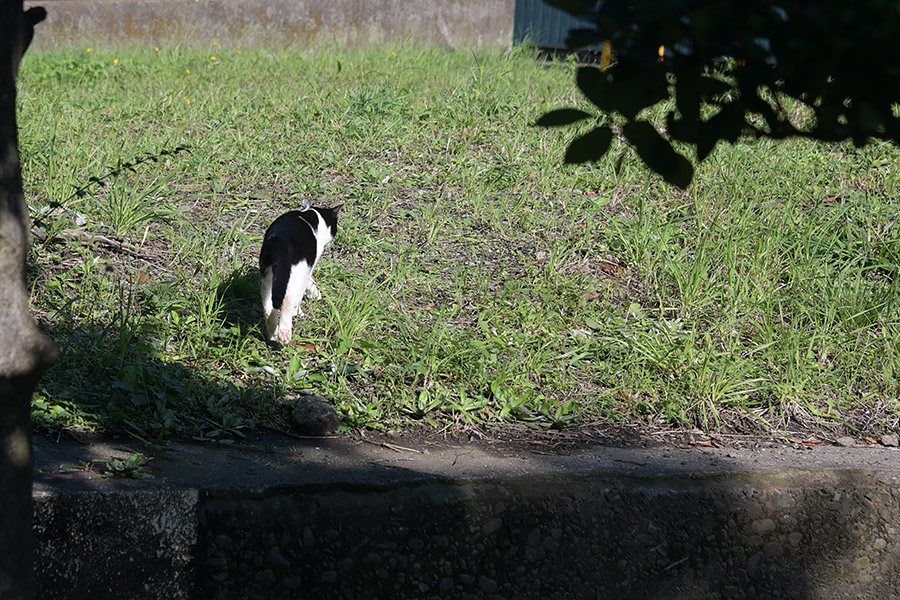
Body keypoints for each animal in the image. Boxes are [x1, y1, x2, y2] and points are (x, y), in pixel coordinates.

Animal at [264, 200, 344, 344]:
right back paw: (286, 331)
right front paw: (315, 294)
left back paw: (273, 335)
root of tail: (281, 242)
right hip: (296, 276)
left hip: (268, 277)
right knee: (288, 300)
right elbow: (310, 281)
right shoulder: (309, 266)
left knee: (269, 307)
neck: (311, 216)